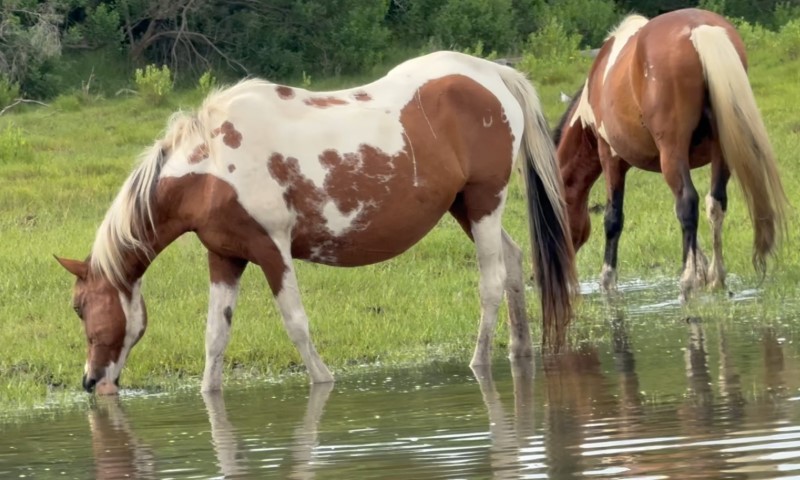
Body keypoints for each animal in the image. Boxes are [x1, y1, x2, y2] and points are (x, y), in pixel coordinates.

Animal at [56, 50, 577, 395]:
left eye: (80, 307)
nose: (90, 380)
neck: (211, 166)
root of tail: (493, 74)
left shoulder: (272, 251)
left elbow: (296, 324)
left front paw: (323, 382)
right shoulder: (225, 257)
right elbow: (215, 337)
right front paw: (209, 396)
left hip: (485, 201)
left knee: (490, 282)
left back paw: (480, 362)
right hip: (466, 207)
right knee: (513, 264)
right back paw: (519, 351)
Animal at [554, 8, 788, 301]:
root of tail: (699, 29)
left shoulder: (611, 158)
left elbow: (613, 218)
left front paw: (607, 281)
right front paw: (701, 269)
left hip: (672, 153)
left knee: (688, 202)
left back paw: (686, 283)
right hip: (718, 152)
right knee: (714, 203)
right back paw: (716, 278)